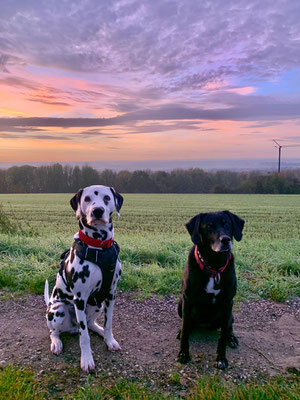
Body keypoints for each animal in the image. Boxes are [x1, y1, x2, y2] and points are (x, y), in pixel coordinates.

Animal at [44, 184, 123, 372]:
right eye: (87, 199)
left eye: (107, 198)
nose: (97, 211)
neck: (99, 247)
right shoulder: (79, 299)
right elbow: (84, 335)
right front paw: (86, 359)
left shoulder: (111, 294)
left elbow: (109, 323)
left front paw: (109, 339)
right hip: (57, 309)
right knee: (55, 331)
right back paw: (56, 343)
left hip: (97, 304)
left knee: (91, 324)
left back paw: (100, 331)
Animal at [178, 209, 244, 368]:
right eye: (209, 226)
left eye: (227, 224)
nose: (226, 240)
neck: (214, 266)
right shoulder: (187, 300)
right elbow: (185, 332)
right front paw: (183, 353)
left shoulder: (228, 303)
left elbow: (222, 336)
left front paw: (221, 358)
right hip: (180, 305)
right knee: (186, 325)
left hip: (230, 314)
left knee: (229, 327)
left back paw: (232, 338)